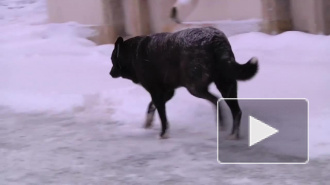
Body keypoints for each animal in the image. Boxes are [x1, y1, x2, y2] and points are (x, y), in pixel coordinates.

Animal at [110, 26, 258, 139]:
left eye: (112, 59)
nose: (110, 73)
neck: (132, 54)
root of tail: (216, 40)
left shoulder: (156, 92)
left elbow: (162, 115)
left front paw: (163, 134)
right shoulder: (167, 92)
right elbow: (151, 106)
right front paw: (148, 122)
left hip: (195, 88)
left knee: (216, 101)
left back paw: (221, 124)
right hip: (227, 86)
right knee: (236, 111)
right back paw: (233, 135)